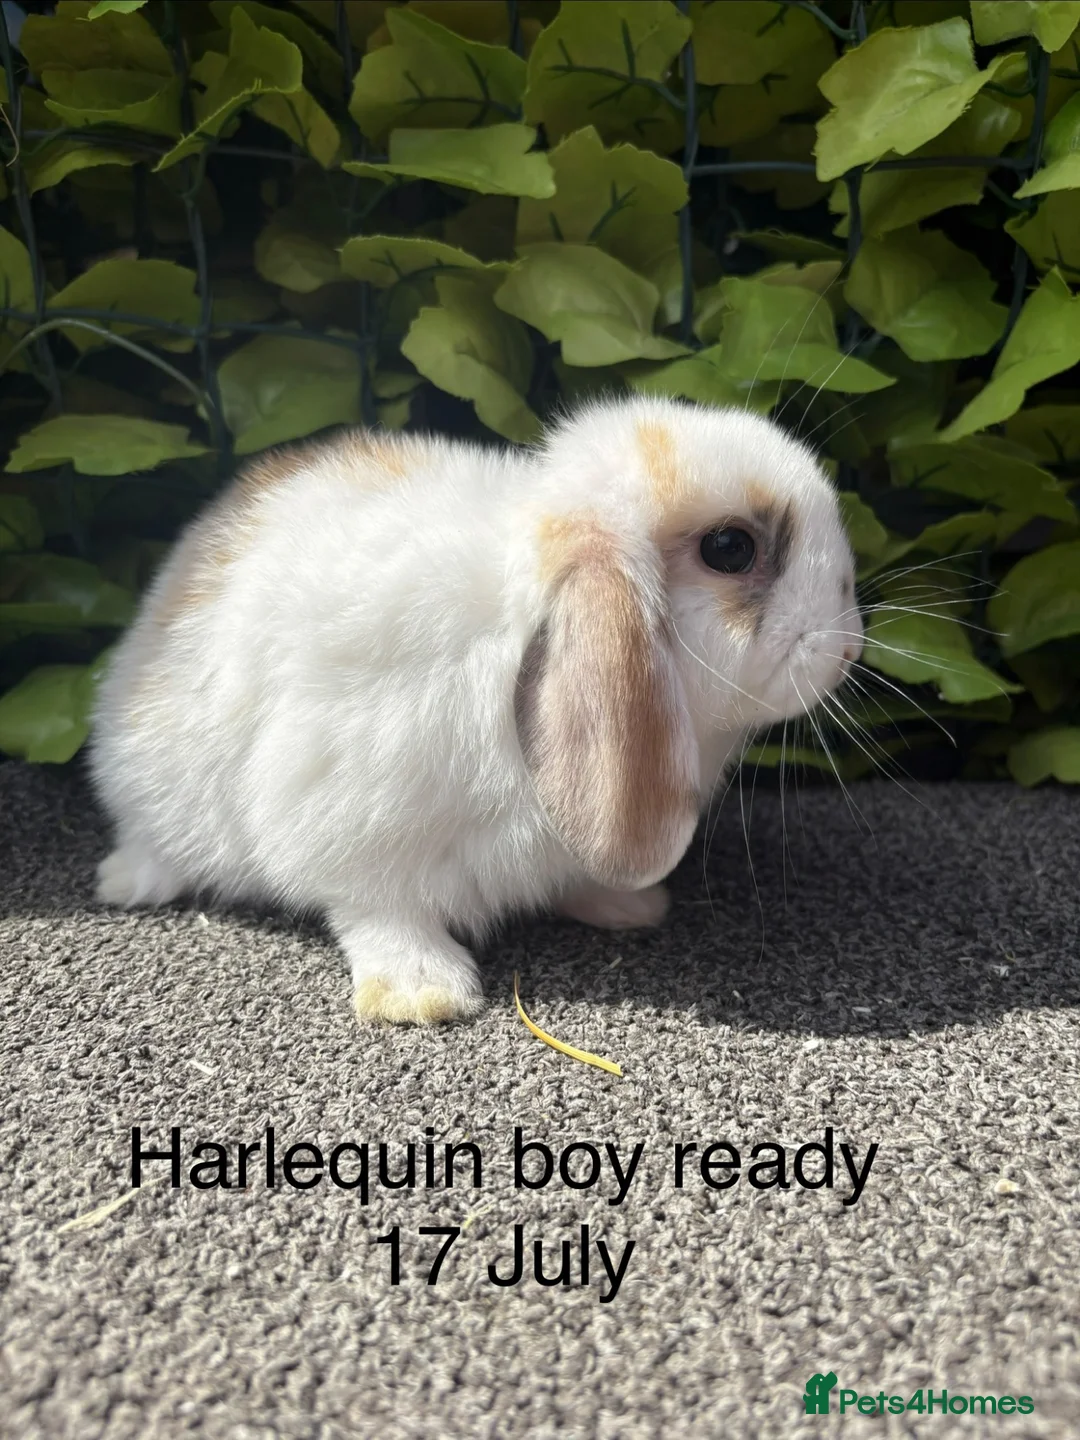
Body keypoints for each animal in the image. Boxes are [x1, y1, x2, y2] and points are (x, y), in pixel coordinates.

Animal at [88, 395, 863, 1025]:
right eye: (730, 548)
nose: (851, 640)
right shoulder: (347, 821)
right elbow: (380, 911)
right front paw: (422, 994)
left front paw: (629, 907)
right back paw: (130, 883)